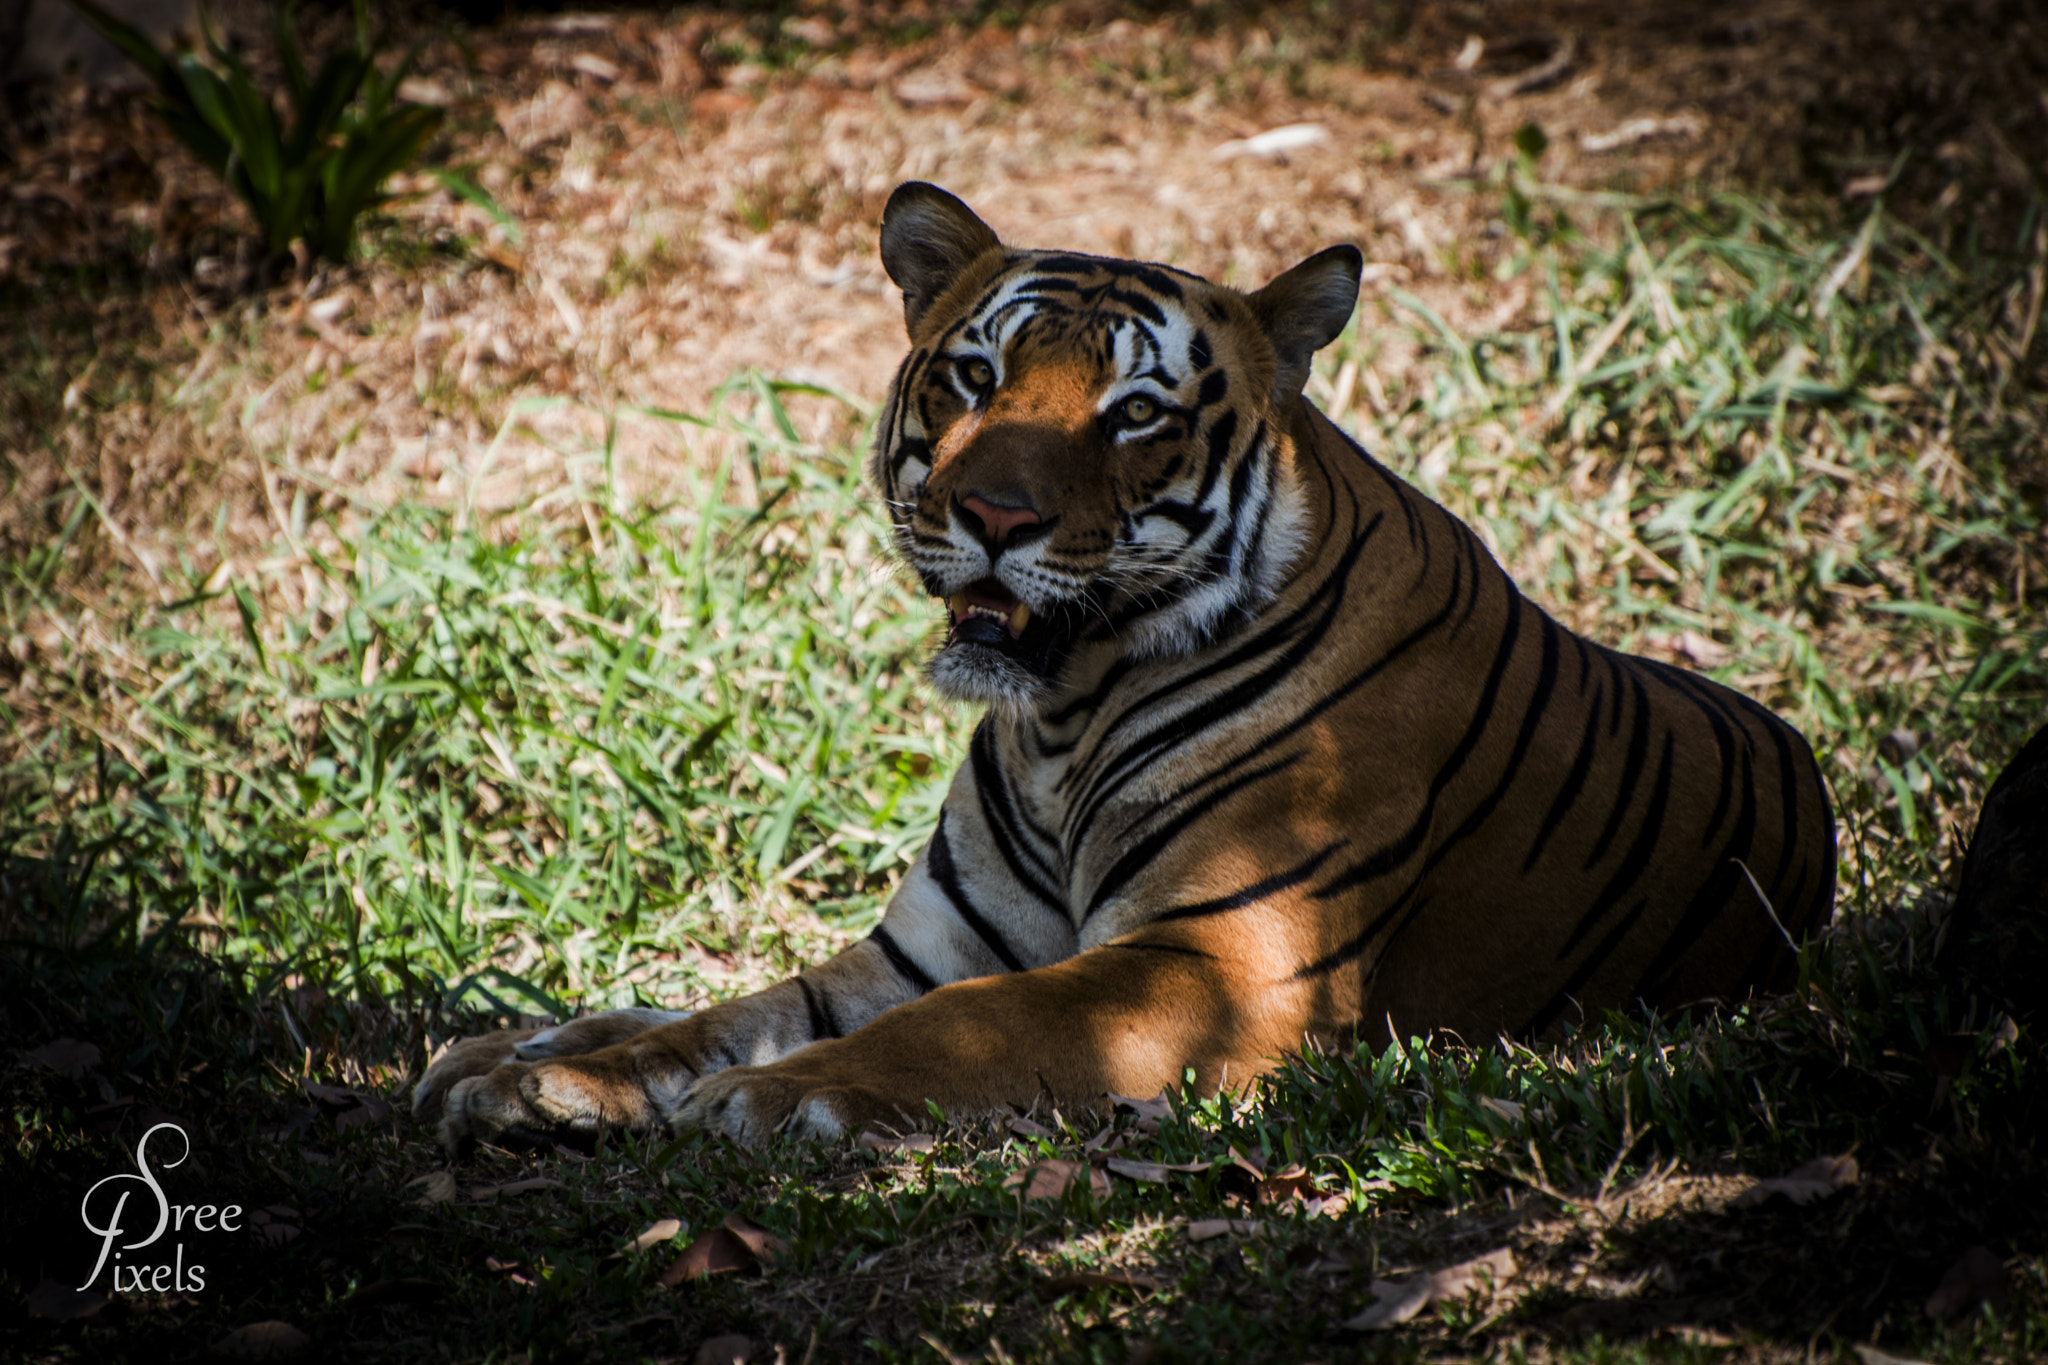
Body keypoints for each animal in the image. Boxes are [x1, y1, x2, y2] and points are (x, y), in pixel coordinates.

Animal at [412, 182, 1837, 1149]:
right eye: (973, 376)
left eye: (1135, 412)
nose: (992, 516)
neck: (1062, 713)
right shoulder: (925, 947)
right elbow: (718, 1010)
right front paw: (534, 1072)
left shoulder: (1219, 966)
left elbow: (966, 1026)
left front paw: (767, 1099)